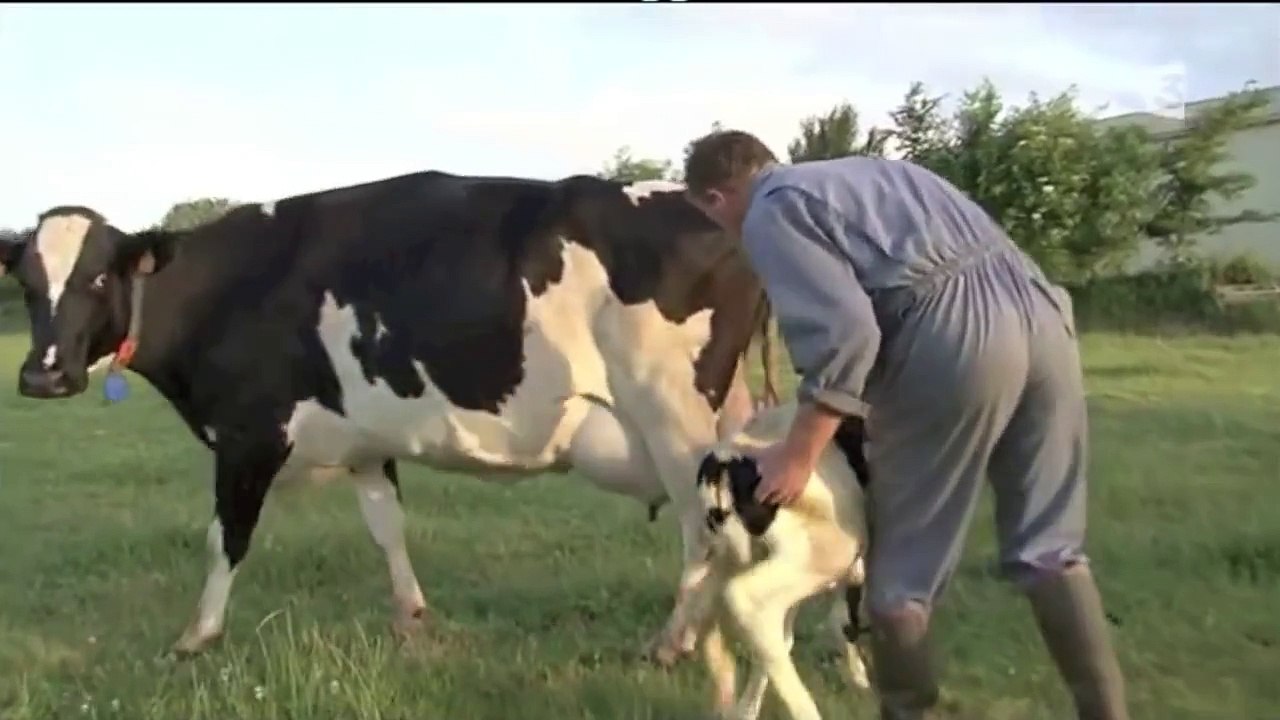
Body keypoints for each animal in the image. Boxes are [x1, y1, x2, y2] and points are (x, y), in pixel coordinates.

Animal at [0, 171, 780, 661]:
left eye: (99, 276)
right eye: (28, 282)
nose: (42, 374)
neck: (227, 287)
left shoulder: (249, 436)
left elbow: (226, 539)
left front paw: (197, 635)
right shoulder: (365, 442)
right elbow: (387, 528)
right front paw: (410, 617)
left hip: (673, 418)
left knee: (702, 531)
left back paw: (673, 642)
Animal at [676, 401, 873, 720]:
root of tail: (726, 461)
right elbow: (843, 619)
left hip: (725, 556)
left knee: (701, 604)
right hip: (826, 551)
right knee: (747, 600)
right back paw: (805, 711)